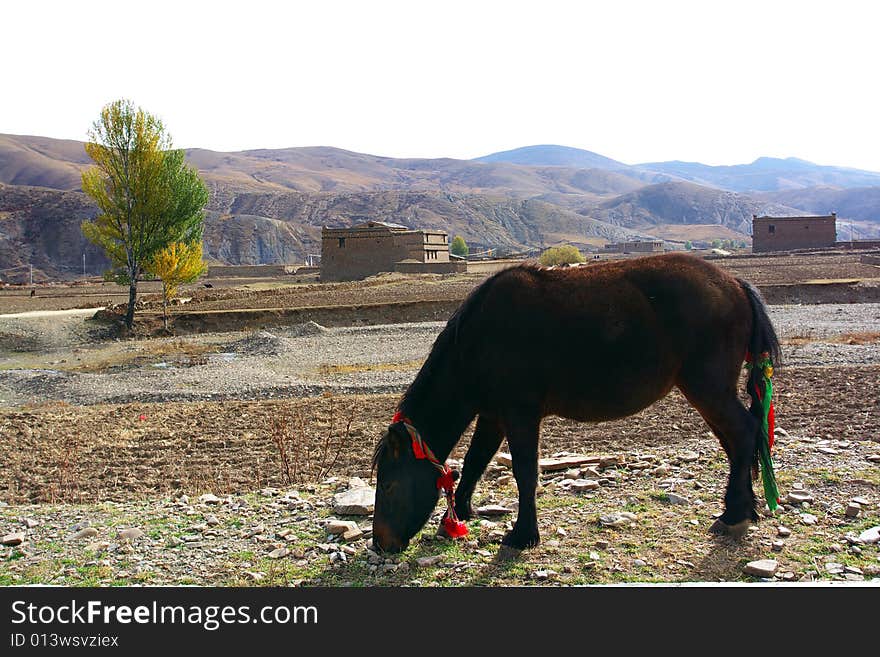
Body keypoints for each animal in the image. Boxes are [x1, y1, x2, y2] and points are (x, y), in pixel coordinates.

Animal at [368, 254, 780, 552]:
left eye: (387, 486)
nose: (380, 544)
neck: (477, 341)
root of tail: (736, 284)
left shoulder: (520, 415)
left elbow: (524, 472)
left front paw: (523, 535)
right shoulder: (493, 415)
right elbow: (475, 461)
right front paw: (456, 518)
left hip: (708, 389)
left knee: (744, 434)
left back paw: (735, 514)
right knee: (737, 442)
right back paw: (743, 508)